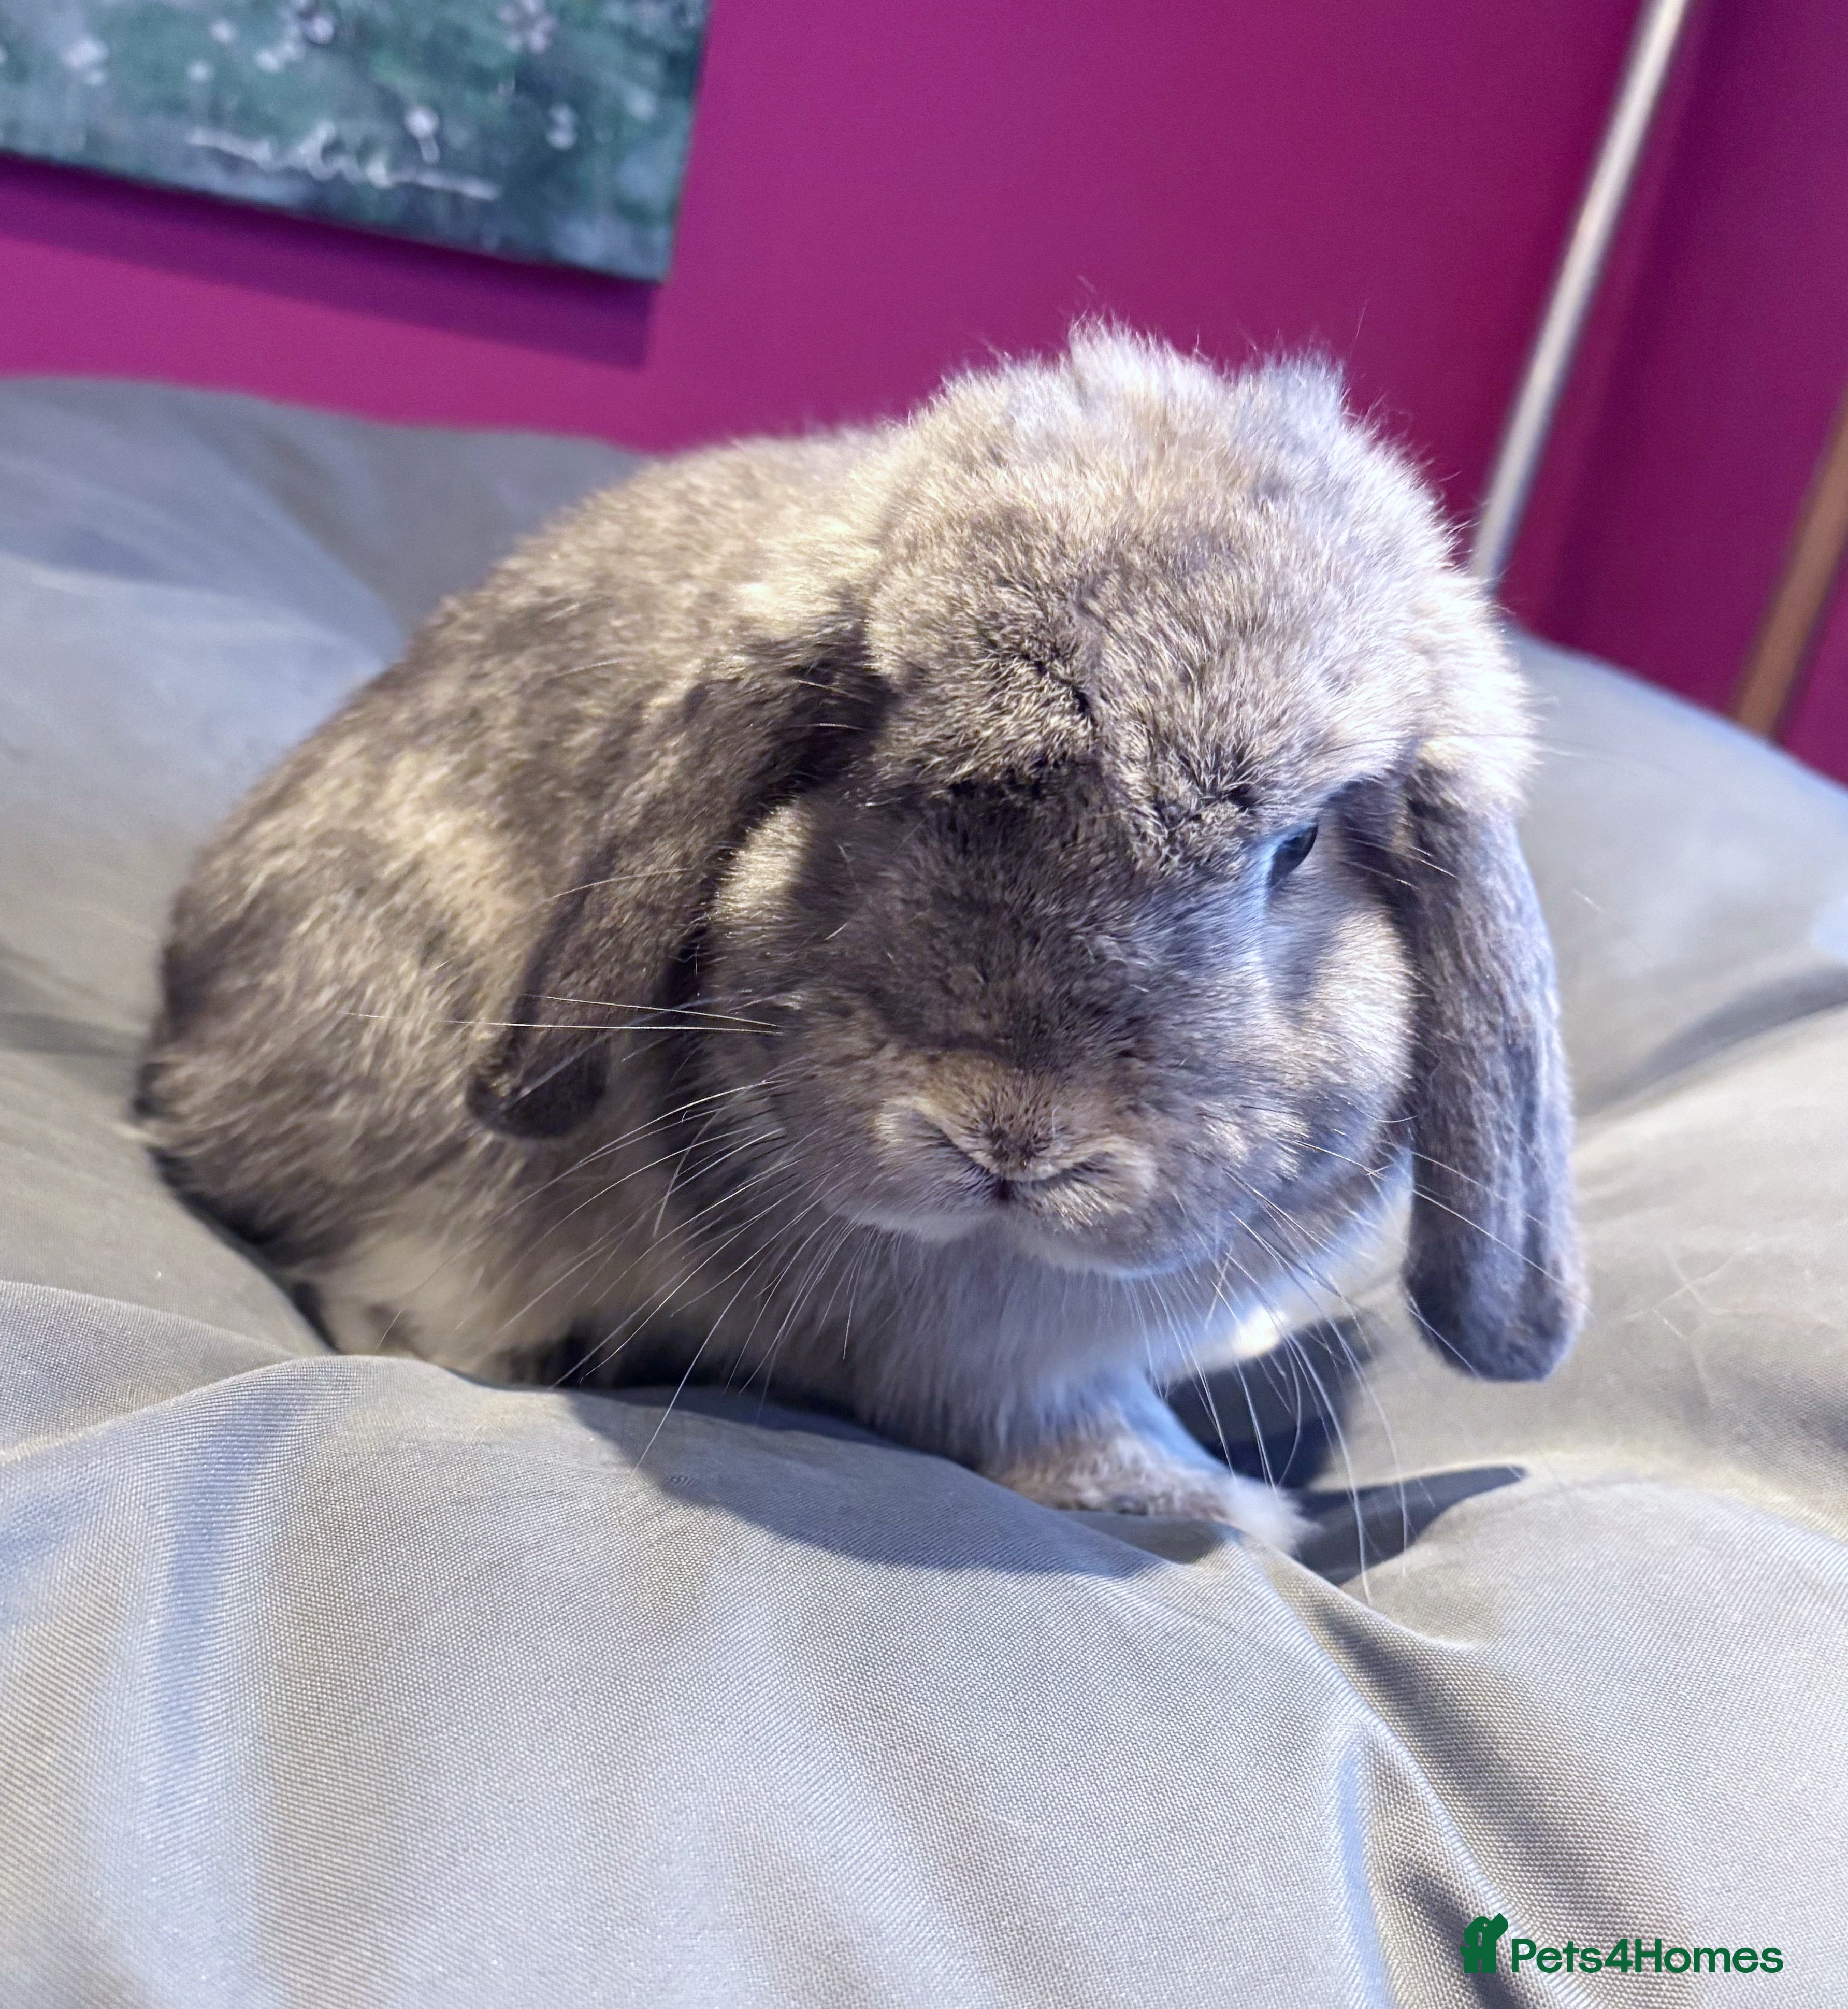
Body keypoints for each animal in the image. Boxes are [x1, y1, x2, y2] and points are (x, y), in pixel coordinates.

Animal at [136, 328, 1584, 1551]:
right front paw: (1214, 1506)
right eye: (880, 769)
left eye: (1296, 851)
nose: (1011, 1134)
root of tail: (181, 1040)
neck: (998, 1254)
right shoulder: (970, 1369)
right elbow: (1044, 1424)